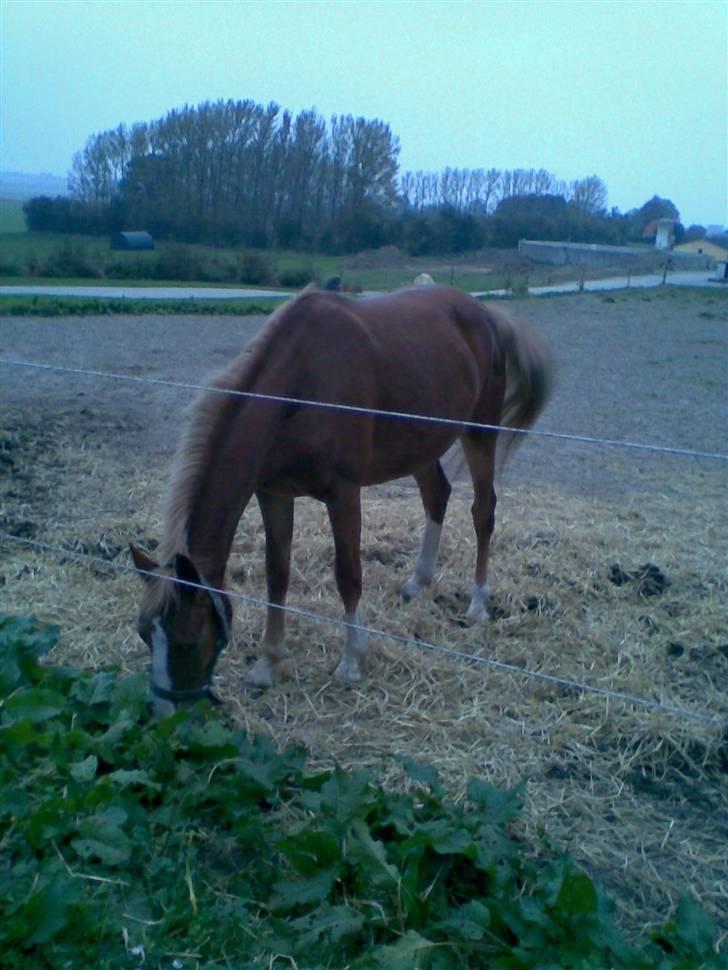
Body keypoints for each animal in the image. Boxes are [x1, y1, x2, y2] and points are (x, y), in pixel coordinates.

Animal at [129, 284, 552, 716]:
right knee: (437, 496)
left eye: (187, 642)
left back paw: (478, 602)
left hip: (479, 433)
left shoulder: (343, 493)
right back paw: (417, 582)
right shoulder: (273, 493)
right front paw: (268, 663)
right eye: (144, 633)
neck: (300, 385)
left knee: (483, 512)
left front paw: (351, 660)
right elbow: (276, 574)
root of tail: (483, 313)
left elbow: (348, 574)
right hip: (420, 445)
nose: (163, 715)